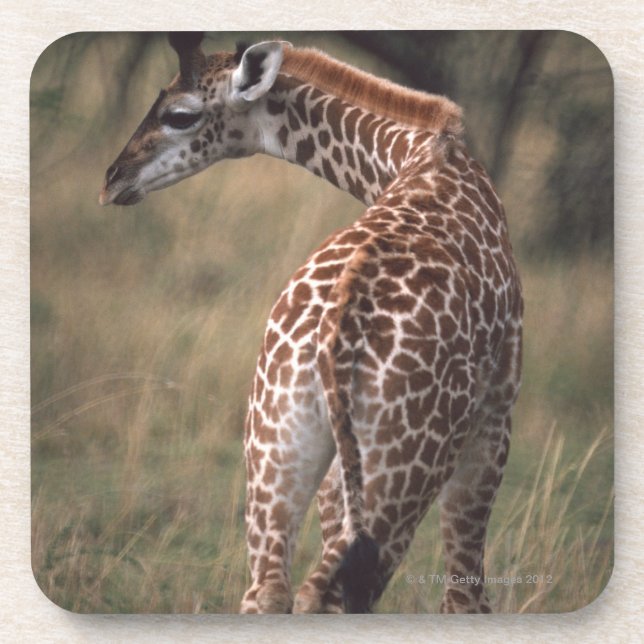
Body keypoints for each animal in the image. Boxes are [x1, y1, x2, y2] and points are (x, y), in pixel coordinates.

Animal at [100, 32, 523, 614]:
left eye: (179, 114)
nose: (112, 180)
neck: (418, 154)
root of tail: (332, 336)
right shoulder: (496, 413)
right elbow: (465, 595)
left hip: (276, 443)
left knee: (269, 590)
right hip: (405, 465)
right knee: (334, 592)